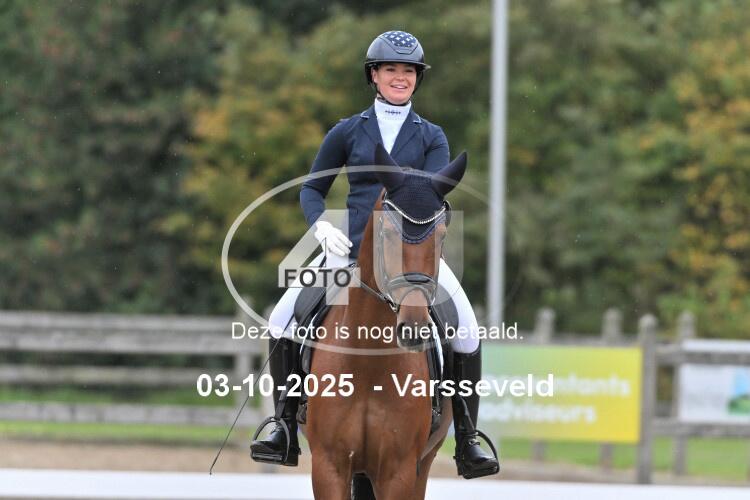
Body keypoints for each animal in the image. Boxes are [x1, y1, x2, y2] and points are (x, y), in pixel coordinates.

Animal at [302, 143, 467, 499]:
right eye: (388, 232)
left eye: (442, 235)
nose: (414, 327)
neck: (367, 362)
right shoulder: (328, 465)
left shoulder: (399, 470)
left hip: (423, 462)